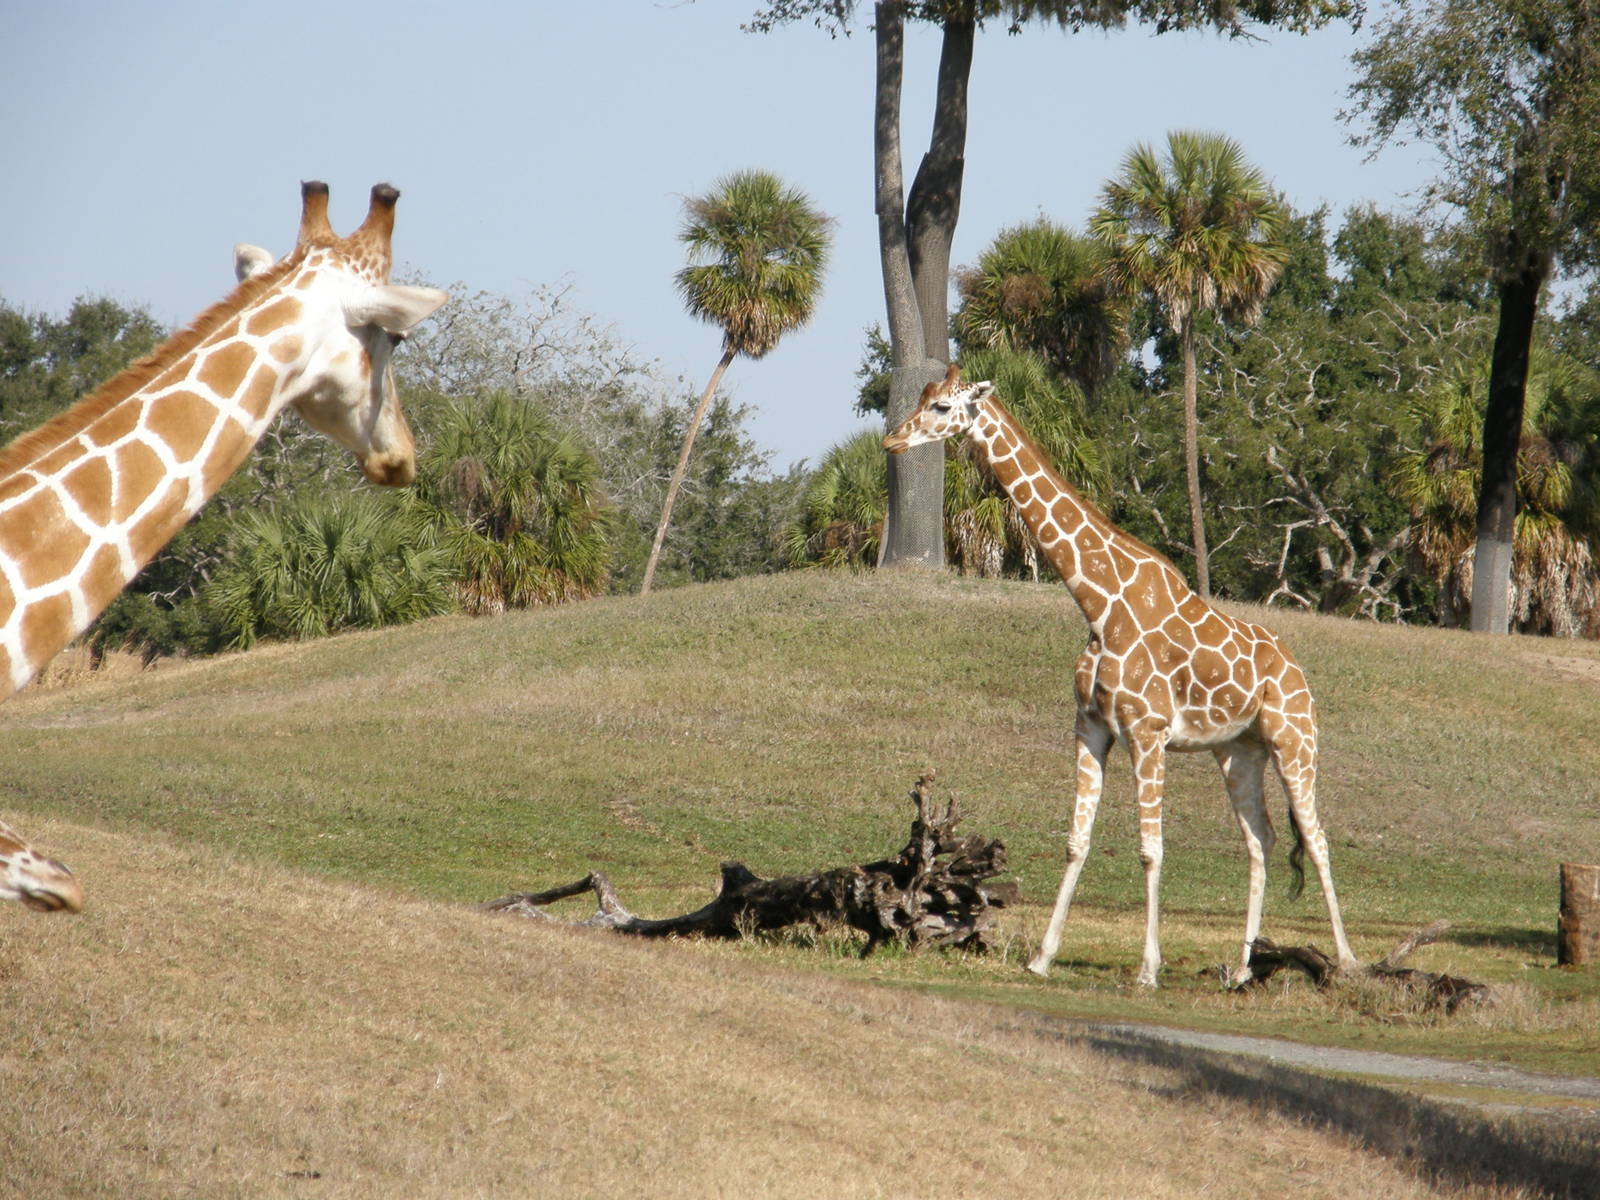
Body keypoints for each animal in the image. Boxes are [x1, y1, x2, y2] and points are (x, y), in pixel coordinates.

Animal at [884, 364, 1358, 987]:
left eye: (941, 407)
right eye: (921, 397)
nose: (892, 440)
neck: (1098, 605)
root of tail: (1300, 672)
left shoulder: (1147, 732)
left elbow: (1151, 849)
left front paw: (1148, 969)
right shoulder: (1091, 727)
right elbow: (1076, 841)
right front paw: (1042, 956)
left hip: (1294, 741)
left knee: (1318, 840)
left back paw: (1347, 962)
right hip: (1238, 751)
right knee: (1261, 840)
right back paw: (1243, 967)